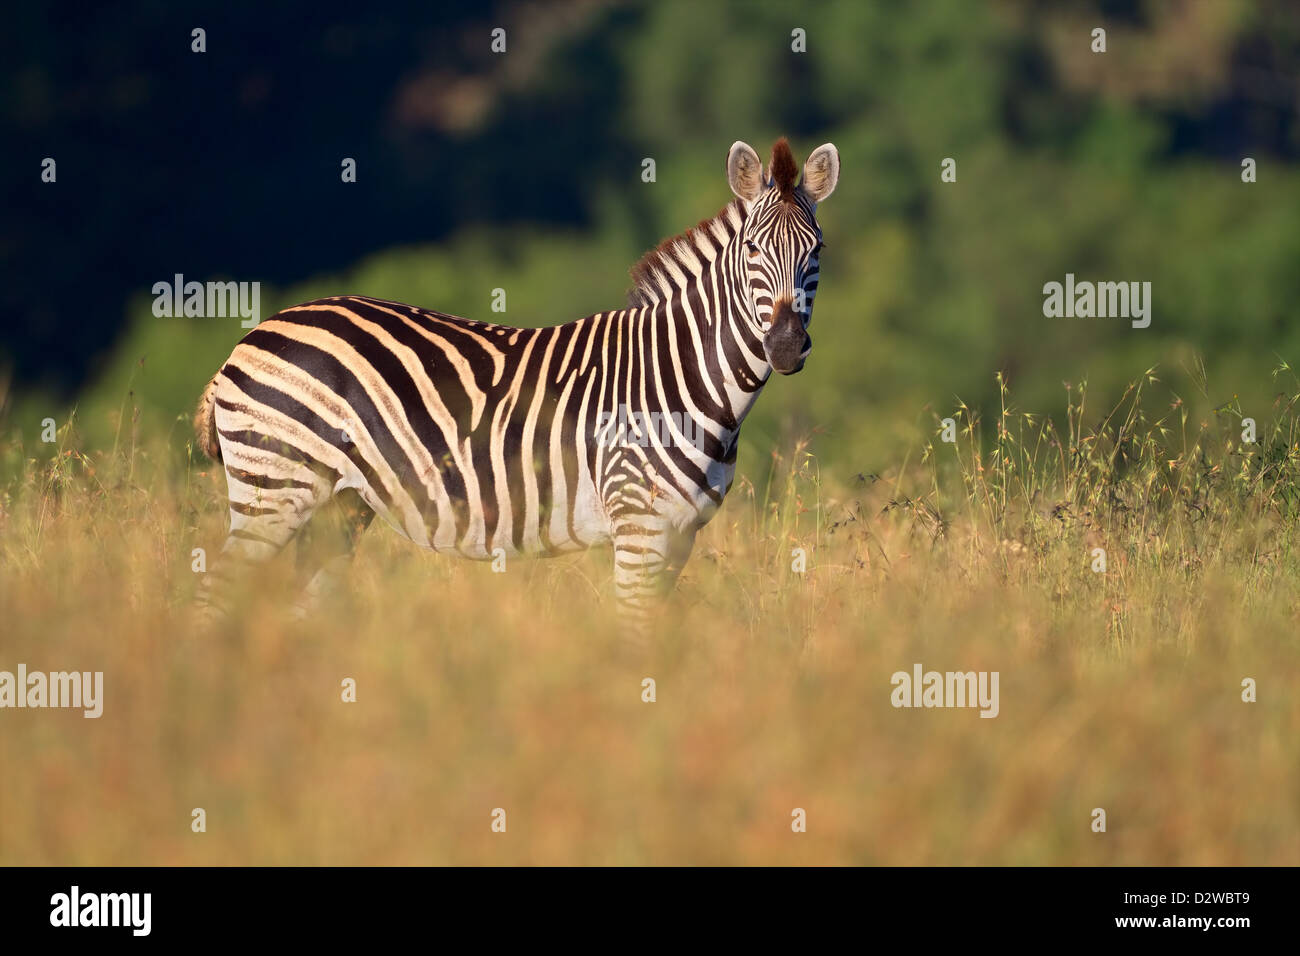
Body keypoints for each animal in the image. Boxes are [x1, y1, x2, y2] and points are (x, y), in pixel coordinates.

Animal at [192, 134, 842, 629]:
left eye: (818, 252)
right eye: (753, 248)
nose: (786, 347)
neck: (684, 378)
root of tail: (252, 335)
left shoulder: (681, 534)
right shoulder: (639, 525)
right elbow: (635, 637)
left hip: (335, 509)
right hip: (273, 489)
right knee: (214, 597)